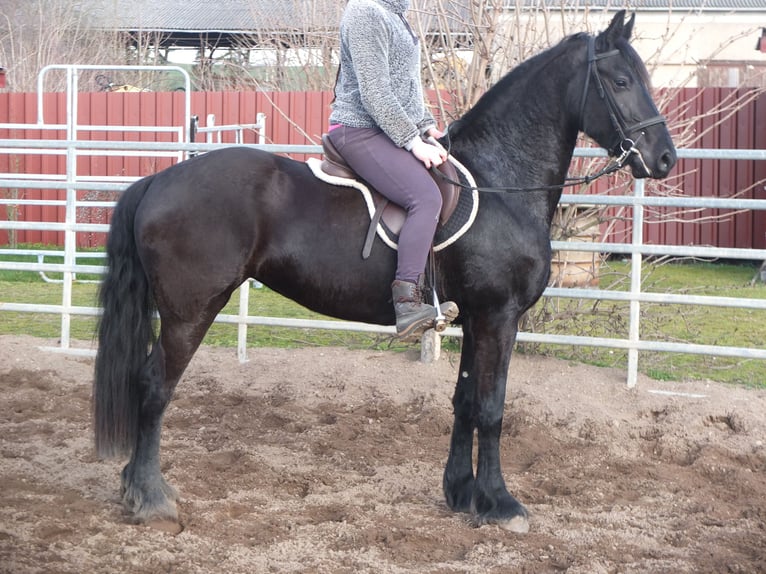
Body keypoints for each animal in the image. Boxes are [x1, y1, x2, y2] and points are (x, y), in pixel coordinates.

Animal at [94, 12, 680, 536]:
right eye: (621, 81)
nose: (664, 158)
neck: (499, 182)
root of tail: (159, 180)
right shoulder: (499, 316)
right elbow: (492, 407)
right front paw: (501, 504)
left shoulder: (474, 319)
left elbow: (465, 401)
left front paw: (461, 493)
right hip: (189, 313)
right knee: (153, 386)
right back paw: (151, 498)